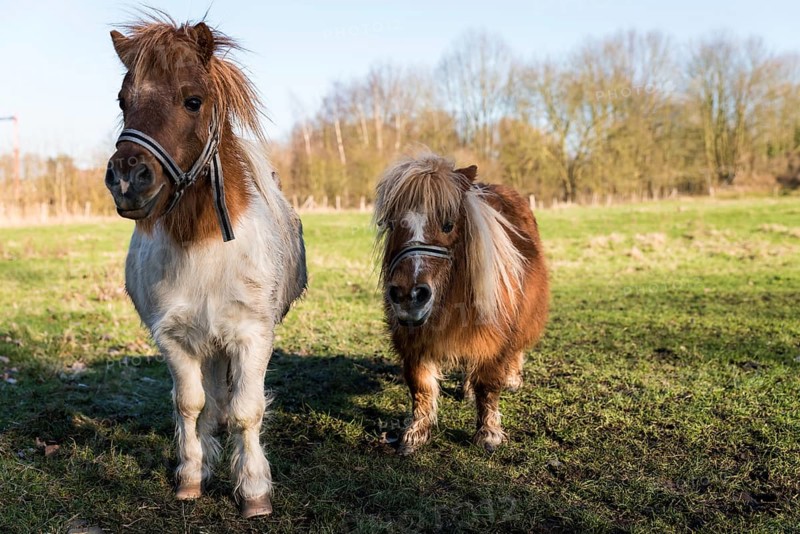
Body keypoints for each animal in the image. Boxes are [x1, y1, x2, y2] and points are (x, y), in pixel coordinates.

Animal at [104, 16, 306, 518]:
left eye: (192, 100)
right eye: (123, 101)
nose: (126, 178)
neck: (203, 245)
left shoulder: (252, 336)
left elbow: (246, 410)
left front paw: (253, 492)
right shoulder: (175, 339)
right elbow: (191, 405)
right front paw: (192, 476)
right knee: (211, 402)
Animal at [374, 154, 549, 454]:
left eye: (448, 225)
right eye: (392, 224)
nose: (409, 296)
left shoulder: (496, 339)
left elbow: (488, 385)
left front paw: (488, 433)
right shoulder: (413, 339)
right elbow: (421, 384)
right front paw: (416, 433)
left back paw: (513, 379)